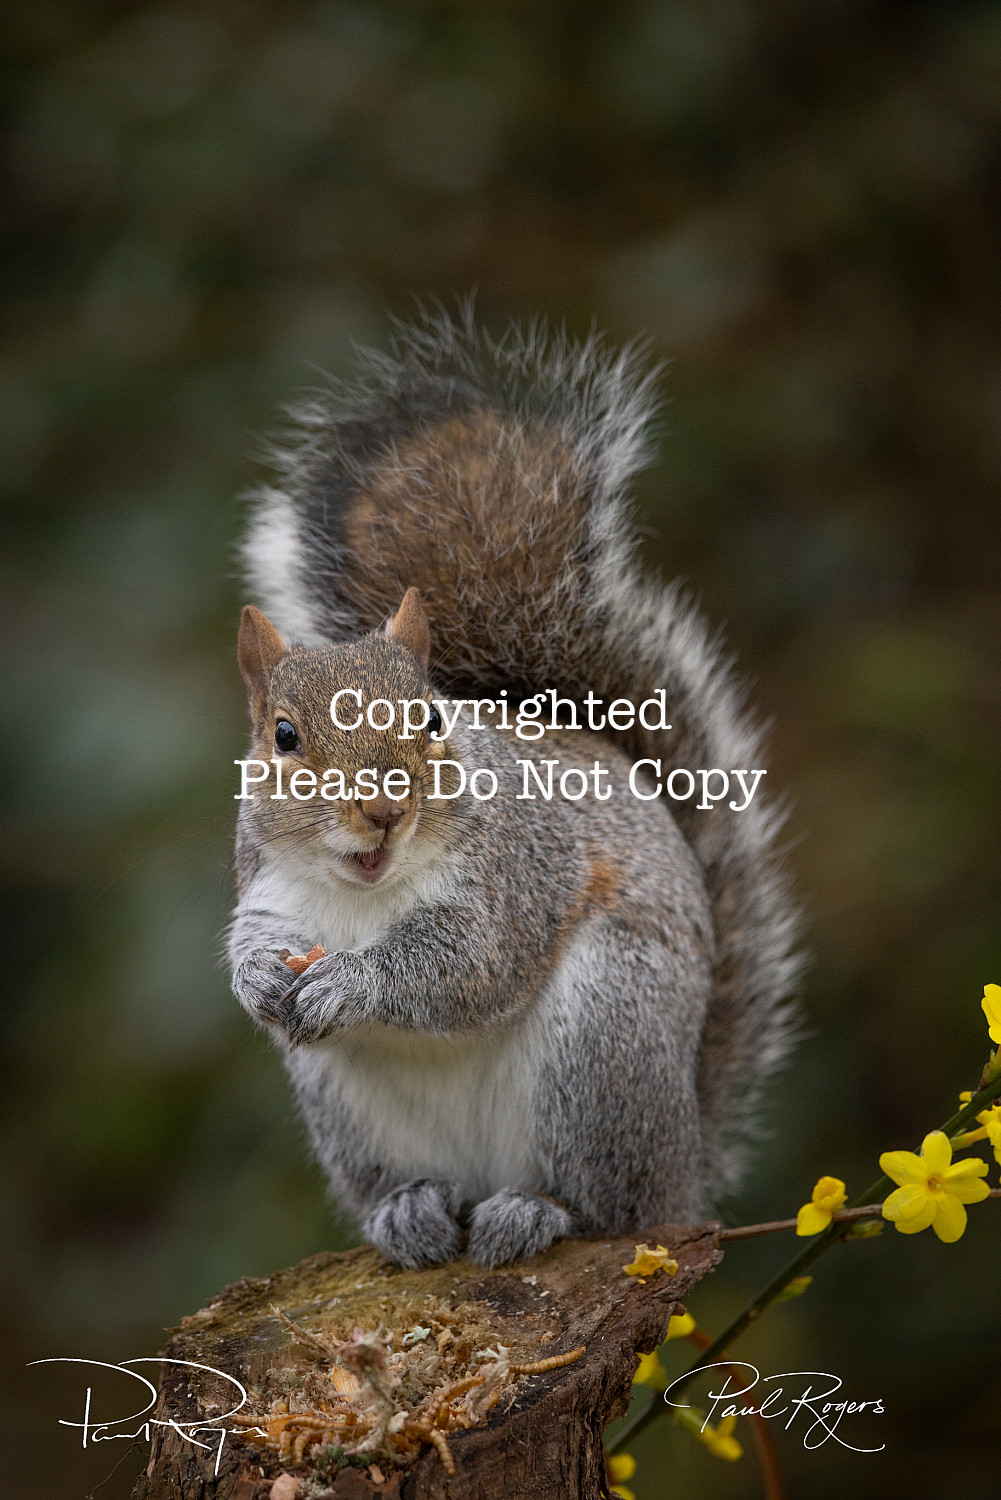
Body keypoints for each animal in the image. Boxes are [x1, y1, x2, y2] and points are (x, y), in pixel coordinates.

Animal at [228, 307, 801, 1270]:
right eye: (283, 737)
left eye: (430, 719)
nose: (383, 813)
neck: (364, 895)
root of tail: (685, 1163)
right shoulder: (268, 888)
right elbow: (248, 947)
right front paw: (261, 979)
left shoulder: (515, 876)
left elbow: (465, 963)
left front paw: (354, 983)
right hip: (346, 1111)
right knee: (409, 1184)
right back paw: (410, 1211)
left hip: (605, 1040)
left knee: (608, 1205)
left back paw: (537, 1210)